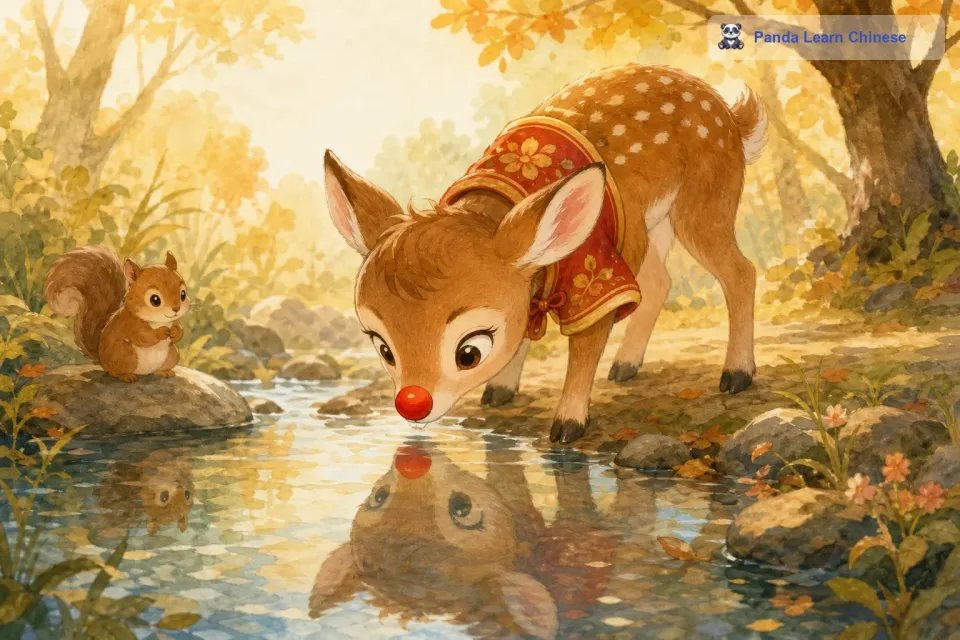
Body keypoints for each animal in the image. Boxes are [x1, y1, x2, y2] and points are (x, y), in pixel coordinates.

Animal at [324, 63, 767, 444]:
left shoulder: (595, 272)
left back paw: (736, 375)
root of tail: (731, 115)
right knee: (661, 281)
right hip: (648, 226)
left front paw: (567, 425)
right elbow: (524, 330)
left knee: (741, 271)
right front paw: (500, 391)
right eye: (384, 348)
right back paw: (625, 367)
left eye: (469, 352)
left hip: (705, 198)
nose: (412, 404)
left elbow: (586, 343)